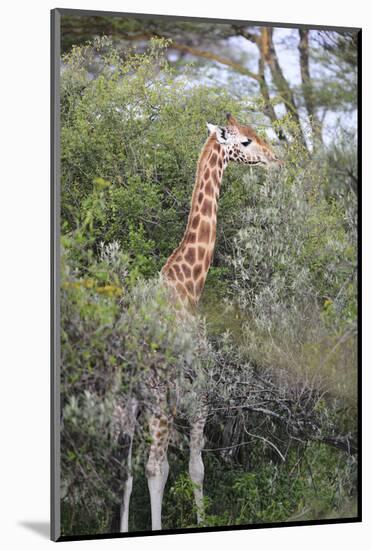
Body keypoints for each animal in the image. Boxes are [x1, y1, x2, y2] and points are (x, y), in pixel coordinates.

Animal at [117, 113, 280, 536]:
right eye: (246, 141)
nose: (275, 159)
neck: (188, 285)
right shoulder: (199, 392)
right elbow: (195, 468)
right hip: (156, 400)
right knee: (154, 467)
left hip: (126, 402)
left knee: (125, 473)